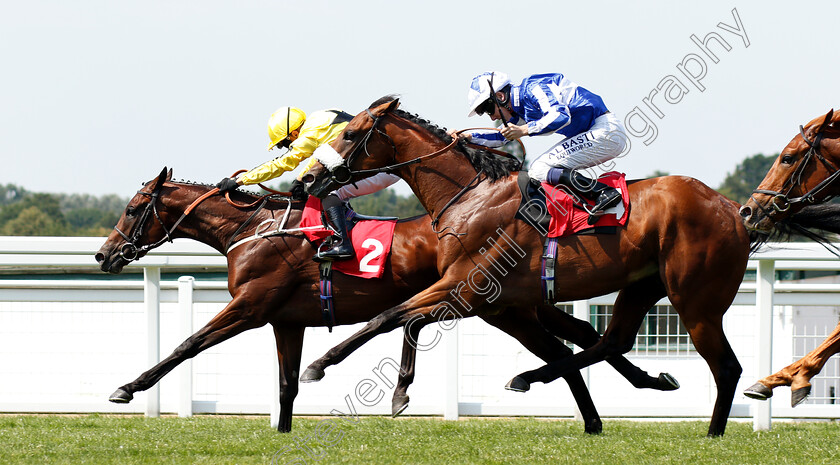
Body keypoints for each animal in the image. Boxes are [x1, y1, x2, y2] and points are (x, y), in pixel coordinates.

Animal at [95, 166, 680, 432]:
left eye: (133, 208)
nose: (104, 254)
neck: (254, 230)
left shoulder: (250, 308)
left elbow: (187, 345)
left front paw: (126, 388)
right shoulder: (287, 321)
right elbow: (286, 384)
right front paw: (282, 431)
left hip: (501, 308)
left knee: (568, 346)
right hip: (514, 307)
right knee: (577, 339)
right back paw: (628, 396)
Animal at [304, 96, 756, 434]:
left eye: (349, 134)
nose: (309, 179)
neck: (469, 196)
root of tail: (731, 207)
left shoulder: (469, 289)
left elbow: (394, 317)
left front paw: (330, 368)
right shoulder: (486, 299)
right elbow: (398, 317)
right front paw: (378, 384)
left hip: (695, 301)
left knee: (726, 367)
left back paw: (713, 433)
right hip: (644, 284)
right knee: (612, 340)